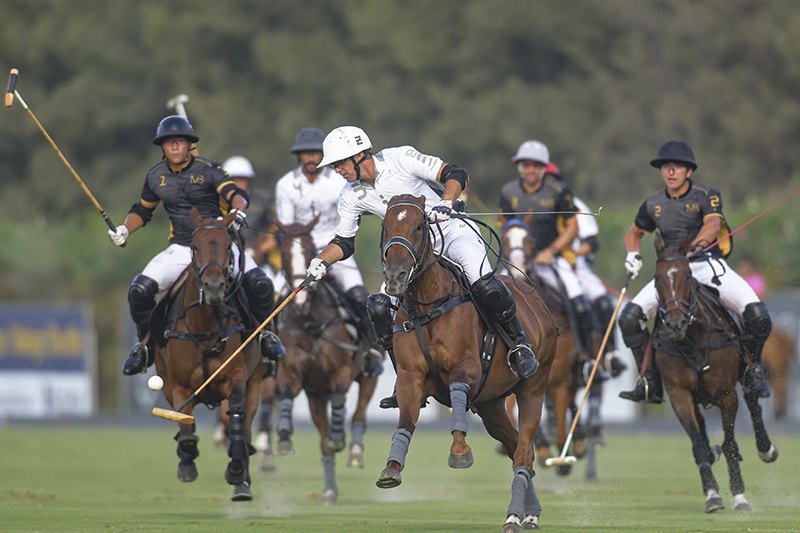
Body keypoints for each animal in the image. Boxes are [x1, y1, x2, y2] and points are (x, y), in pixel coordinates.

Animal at [152, 207, 260, 498]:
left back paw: (243, 479)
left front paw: (236, 471)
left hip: (257, 382)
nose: (213, 287)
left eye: (226, 246)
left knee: (245, 427)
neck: (204, 328)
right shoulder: (178, 385)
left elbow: (237, 421)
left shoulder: (237, 376)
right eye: (195, 247)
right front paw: (187, 463)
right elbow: (186, 428)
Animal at [276, 215, 378, 502]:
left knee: (359, 413)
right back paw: (330, 490)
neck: (311, 322)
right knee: (324, 442)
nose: (300, 300)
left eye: (310, 249)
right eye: (283, 254)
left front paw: (339, 436)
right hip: (315, 397)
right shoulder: (295, 375)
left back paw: (353, 449)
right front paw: (284, 437)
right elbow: (286, 393)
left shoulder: (342, 371)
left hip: (368, 374)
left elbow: (341, 398)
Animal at [376, 195, 556, 532]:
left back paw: (514, 516)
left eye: (419, 226)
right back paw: (530, 512)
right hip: (491, 405)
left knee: (524, 452)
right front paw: (392, 467)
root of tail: (539, 303)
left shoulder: (468, 367)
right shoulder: (411, 378)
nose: (395, 277)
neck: (428, 302)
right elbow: (406, 420)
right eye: (386, 225)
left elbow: (458, 390)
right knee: (515, 448)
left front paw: (459, 450)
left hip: (533, 390)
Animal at [652, 234, 780, 512]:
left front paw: (740, 496)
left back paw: (766, 449)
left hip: (745, 369)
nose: (676, 324)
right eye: (657, 278)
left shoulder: (726, 393)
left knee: (753, 400)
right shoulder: (679, 394)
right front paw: (712, 495)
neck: (694, 335)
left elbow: (730, 443)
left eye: (687, 275)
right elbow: (699, 444)